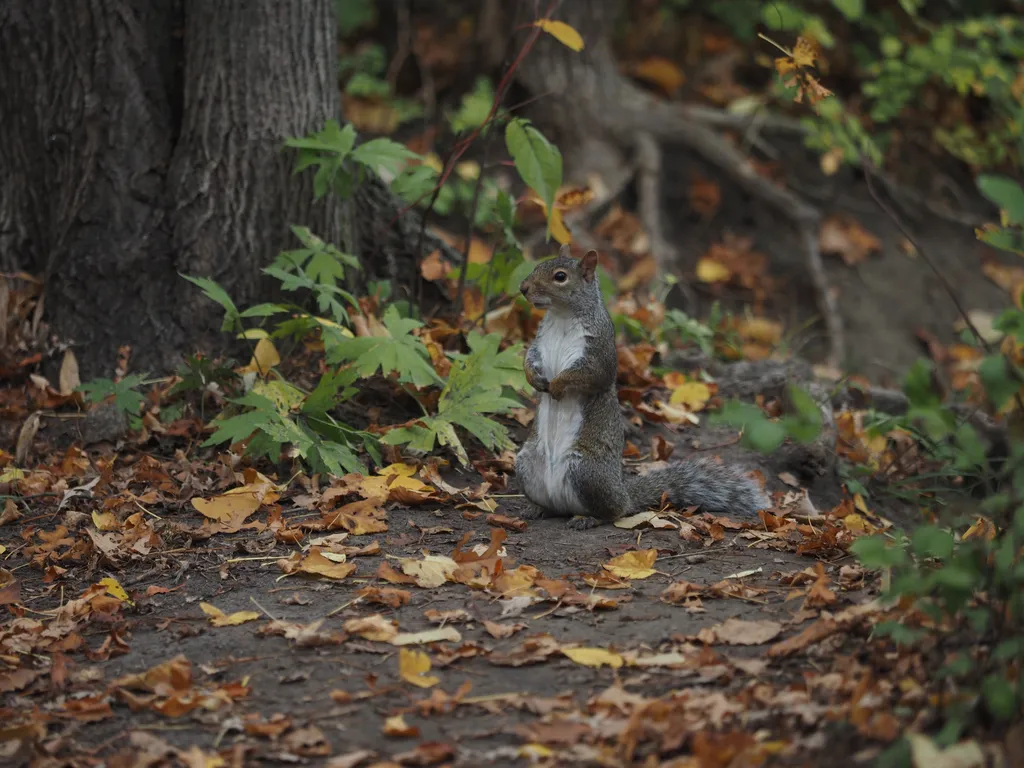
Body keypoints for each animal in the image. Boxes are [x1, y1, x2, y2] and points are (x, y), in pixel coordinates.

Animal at [516, 244, 770, 528]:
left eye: (560, 277)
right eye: (538, 266)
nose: (523, 288)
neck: (561, 317)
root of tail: (623, 493)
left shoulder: (598, 352)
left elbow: (587, 375)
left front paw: (558, 385)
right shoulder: (540, 343)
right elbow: (529, 358)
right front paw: (534, 378)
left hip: (586, 472)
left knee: (612, 512)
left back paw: (589, 518)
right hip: (526, 463)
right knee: (553, 505)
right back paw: (537, 508)